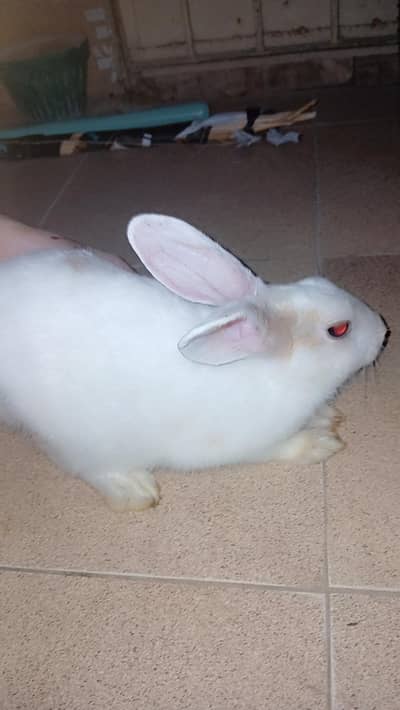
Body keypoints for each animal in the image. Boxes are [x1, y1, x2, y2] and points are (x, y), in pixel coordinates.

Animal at [0, 214, 389, 511]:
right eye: (338, 330)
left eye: (320, 280)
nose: (384, 331)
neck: (276, 369)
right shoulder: (249, 442)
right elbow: (283, 447)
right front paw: (321, 444)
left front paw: (327, 415)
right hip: (80, 436)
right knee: (87, 466)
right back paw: (135, 489)